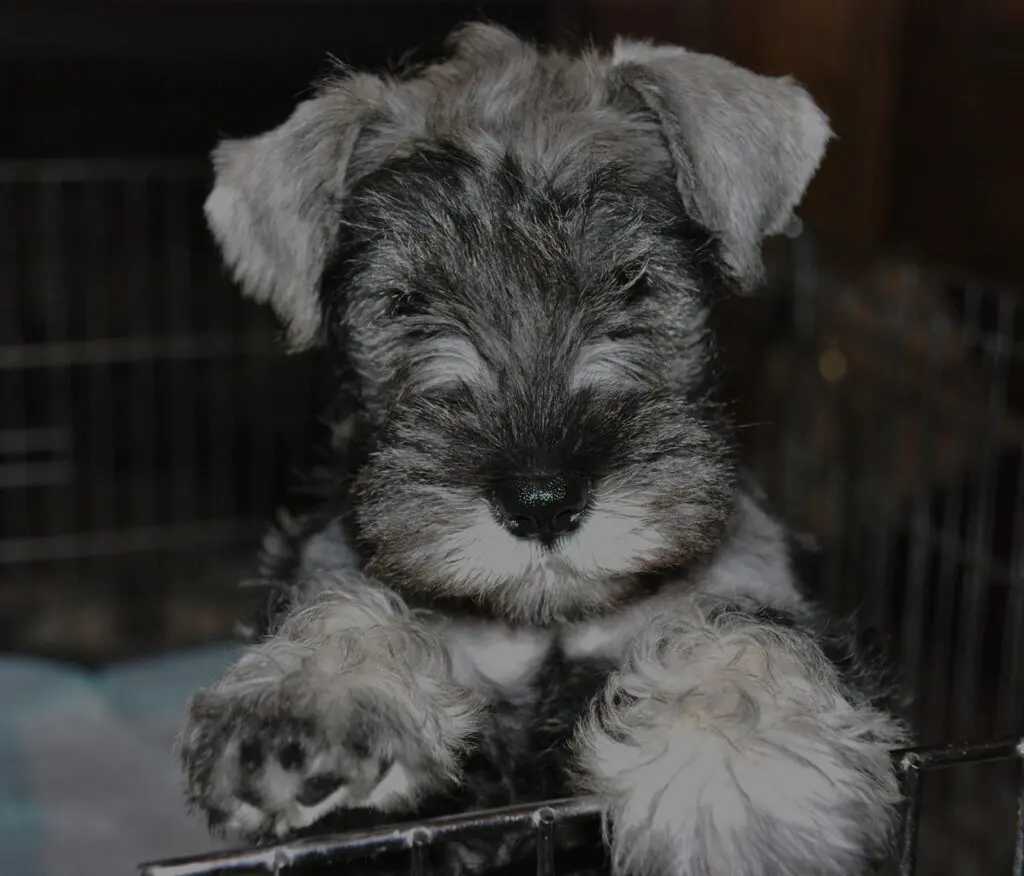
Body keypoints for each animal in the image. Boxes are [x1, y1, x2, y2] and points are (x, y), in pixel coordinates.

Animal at [178, 22, 913, 876]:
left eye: (633, 280)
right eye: (406, 302)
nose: (541, 502)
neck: (548, 621)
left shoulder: (765, 590)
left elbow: (747, 635)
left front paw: (742, 791)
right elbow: (345, 600)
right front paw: (306, 703)